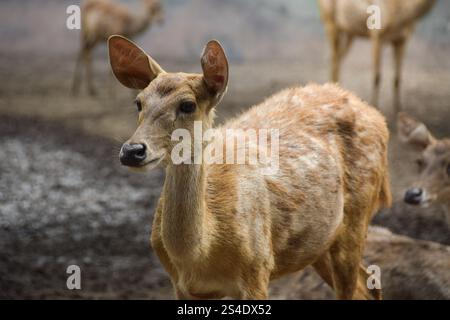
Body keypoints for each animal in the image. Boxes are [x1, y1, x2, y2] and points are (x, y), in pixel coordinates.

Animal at [107, 35, 392, 300]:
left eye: (187, 104)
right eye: (139, 102)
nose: (132, 151)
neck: (200, 256)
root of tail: (376, 116)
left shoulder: (257, 268)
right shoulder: (180, 285)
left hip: (357, 215)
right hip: (317, 241)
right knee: (368, 286)